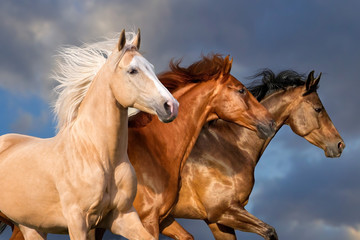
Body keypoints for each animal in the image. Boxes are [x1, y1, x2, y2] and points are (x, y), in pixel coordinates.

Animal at [0, 29, 179, 240]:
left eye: (151, 67)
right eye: (132, 70)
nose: (171, 106)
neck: (98, 156)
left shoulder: (123, 216)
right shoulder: (78, 221)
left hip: (32, 226)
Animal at [160, 69, 346, 240]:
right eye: (318, 109)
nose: (340, 144)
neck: (225, 149)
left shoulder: (218, 220)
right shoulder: (222, 211)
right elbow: (270, 231)